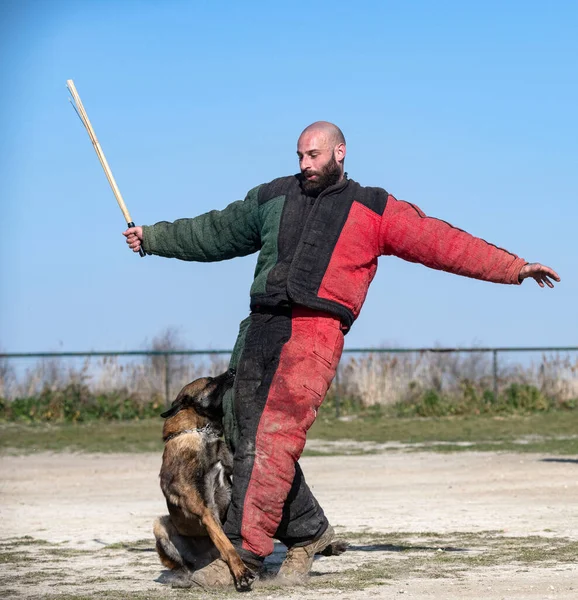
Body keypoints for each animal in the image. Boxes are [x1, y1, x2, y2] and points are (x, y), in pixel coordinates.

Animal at [151, 370, 254, 592]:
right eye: (210, 381)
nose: (232, 371)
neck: (201, 433)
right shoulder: (207, 512)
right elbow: (228, 546)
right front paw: (241, 573)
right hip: (160, 525)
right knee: (182, 567)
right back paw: (183, 578)